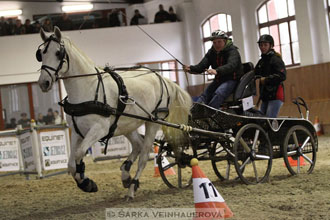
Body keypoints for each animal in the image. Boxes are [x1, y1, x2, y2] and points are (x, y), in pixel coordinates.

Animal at [36, 27, 192, 199]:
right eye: (41, 53)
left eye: (58, 53)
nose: (44, 83)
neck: (88, 88)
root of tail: (161, 78)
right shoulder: (77, 131)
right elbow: (71, 164)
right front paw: (85, 182)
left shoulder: (99, 129)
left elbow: (79, 153)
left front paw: (86, 182)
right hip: (127, 124)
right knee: (137, 145)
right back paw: (126, 175)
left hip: (153, 122)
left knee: (144, 155)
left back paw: (132, 187)